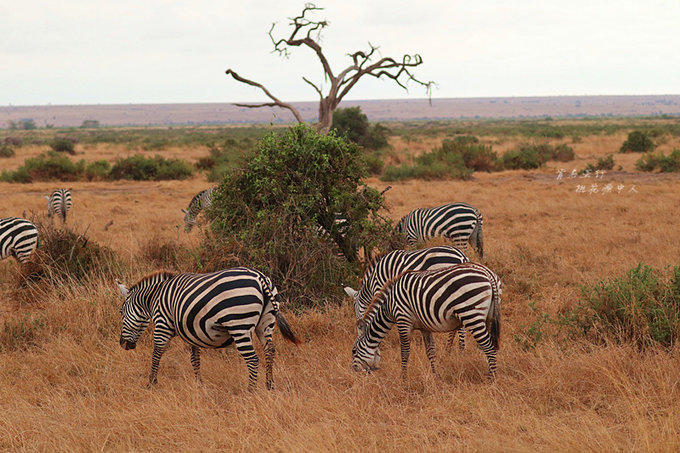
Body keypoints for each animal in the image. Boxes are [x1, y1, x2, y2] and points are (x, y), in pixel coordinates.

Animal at [117, 266, 300, 390]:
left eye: (121, 312)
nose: (122, 344)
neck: (154, 297)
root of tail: (260, 277)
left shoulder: (162, 325)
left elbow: (156, 355)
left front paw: (151, 384)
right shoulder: (191, 331)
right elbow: (195, 359)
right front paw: (199, 383)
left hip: (239, 325)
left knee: (253, 359)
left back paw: (251, 392)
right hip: (266, 322)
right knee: (270, 350)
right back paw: (269, 386)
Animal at [342, 244, 470, 360]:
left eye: (355, 309)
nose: (359, 334)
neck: (372, 280)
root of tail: (461, 256)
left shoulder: (381, 288)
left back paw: (461, 351)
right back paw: (449, 350)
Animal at [354, 262, 502, 382]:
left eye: (354, 350)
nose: (353, 369)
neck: (388, 307)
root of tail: (487, 273)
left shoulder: (403, 320)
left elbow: (405, 352)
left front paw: (403, 379)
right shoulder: (424, 326)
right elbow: (431, 351)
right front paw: (436, 377)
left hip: (471, 313)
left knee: (489, 348)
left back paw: (492, 380)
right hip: (488, 315)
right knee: (489, 346)